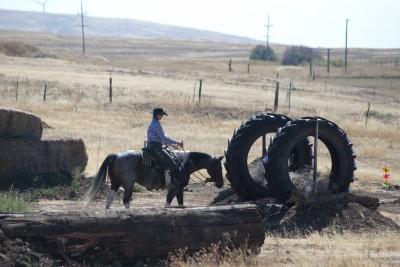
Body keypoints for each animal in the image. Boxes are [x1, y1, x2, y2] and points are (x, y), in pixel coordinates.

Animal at [82, 151, 223, 209]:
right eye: (219, 166)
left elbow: (180, 203)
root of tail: (116, 155)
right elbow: (168, 203)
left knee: (109, 199)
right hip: (128, 184)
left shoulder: (180, 189)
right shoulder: (174, 188)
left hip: (115, 183)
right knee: (126, 200)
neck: (184, 164)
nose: (221, 184)